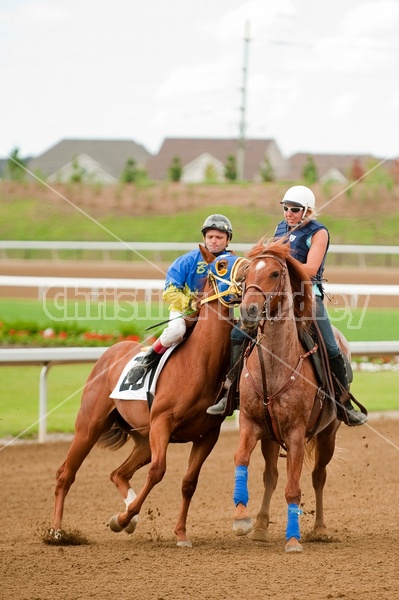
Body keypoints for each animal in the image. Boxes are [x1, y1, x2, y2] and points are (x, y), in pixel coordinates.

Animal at [50, 245, 247, 548]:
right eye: (222, 265)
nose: (249, 275)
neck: (199, 363)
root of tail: (112, 351)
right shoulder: (162, 423)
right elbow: (158, 471)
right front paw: (122, 518)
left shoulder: (207, 434)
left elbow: (189, 482)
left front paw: (180, 534)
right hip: (90, 425)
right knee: (65, 474)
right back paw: (58, 531)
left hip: (142, 437)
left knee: (118, 473)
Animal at [233, 239, 346, 552]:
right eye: (246, 274)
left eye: (274, 273)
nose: (248, 310)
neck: (275, 366)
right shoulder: (250, 423)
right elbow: (241, 459)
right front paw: (242, 518)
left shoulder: (296, 432)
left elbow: (294, 489)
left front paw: (293, 539)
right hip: (271, 438)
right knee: (270, 477)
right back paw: (260, 526)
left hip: (328, 434)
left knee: (318, 477)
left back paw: (319, 528)